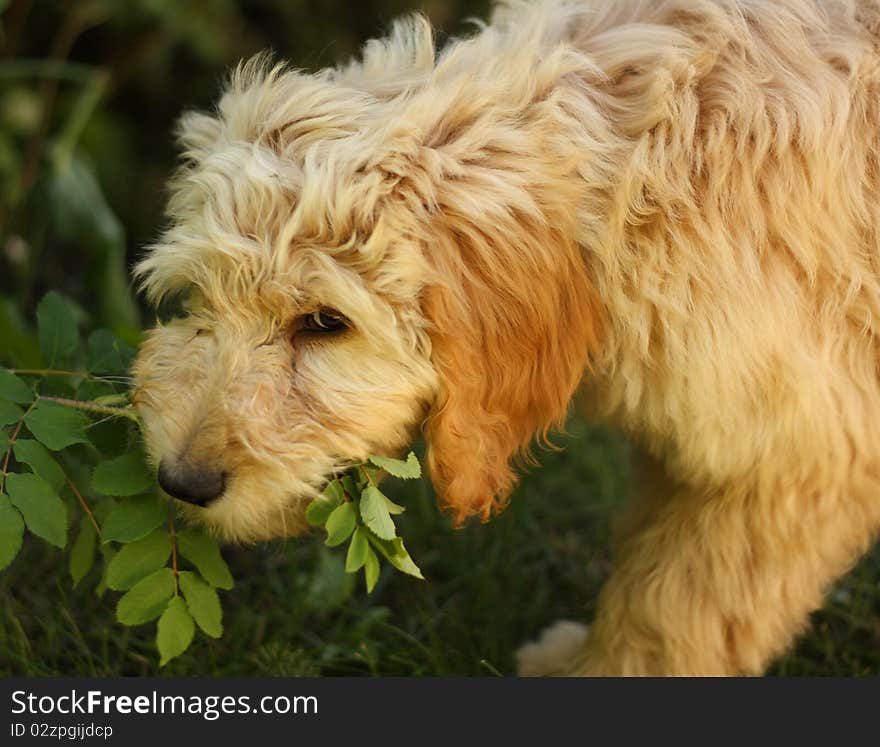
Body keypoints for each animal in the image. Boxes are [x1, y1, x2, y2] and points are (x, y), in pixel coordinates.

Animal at [131, 0, 880, 676]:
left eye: (323, 322)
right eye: (199, 298)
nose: (181, 482)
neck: (652, 161)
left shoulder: (793, 456)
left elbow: (678, 605)